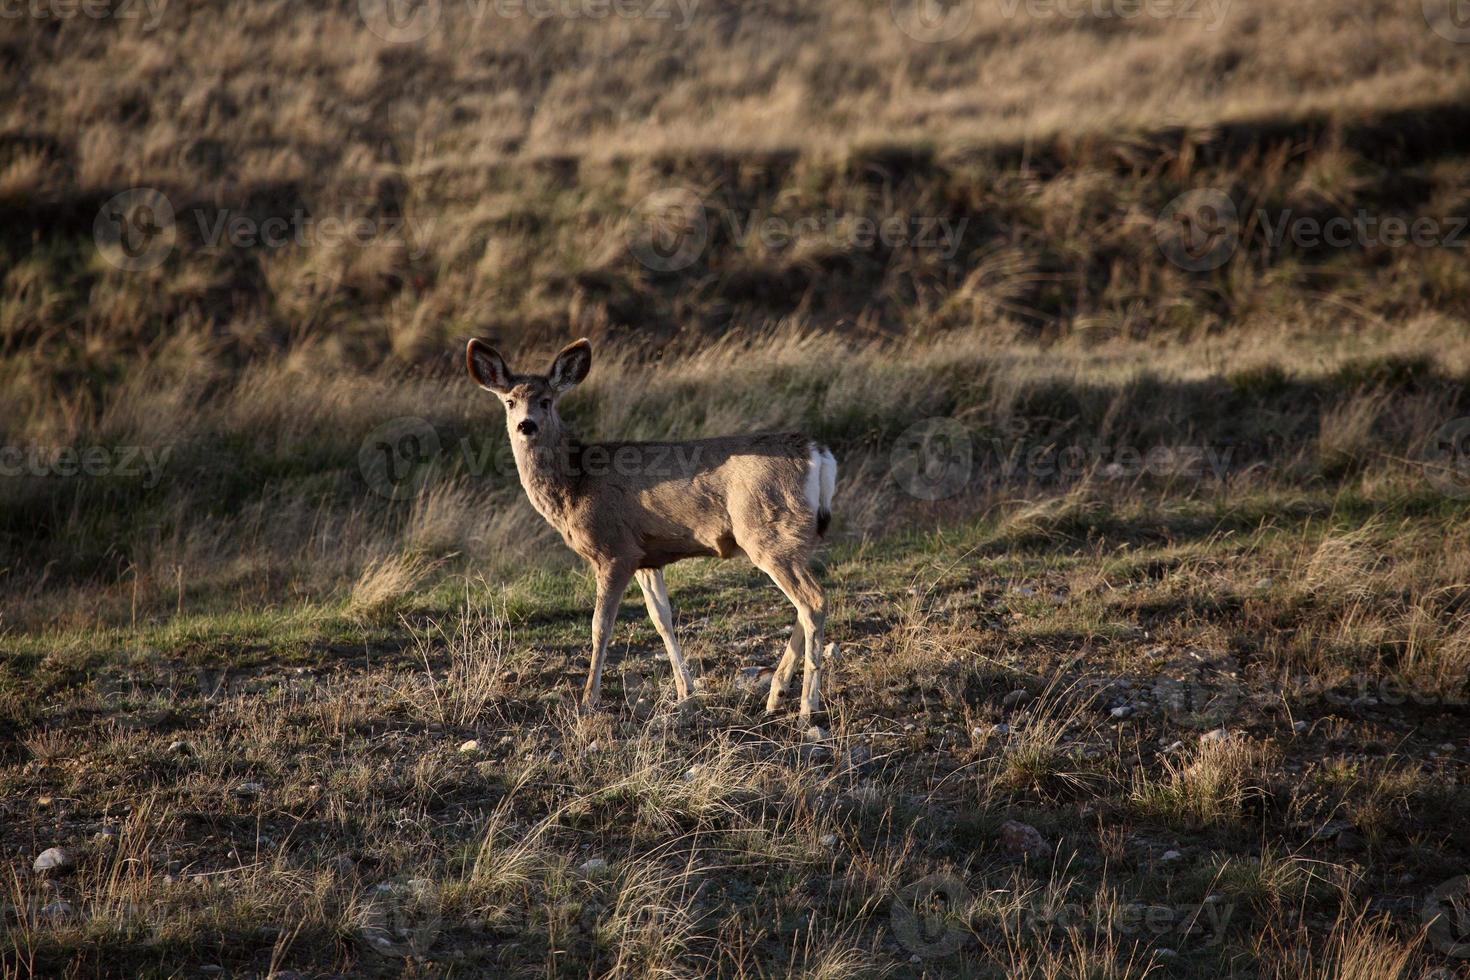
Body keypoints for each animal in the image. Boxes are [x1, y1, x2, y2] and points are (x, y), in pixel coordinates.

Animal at [470, 337, 840, 719]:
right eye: (510, 401)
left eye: (545, 400)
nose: (526, 425)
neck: (576, 484)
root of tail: (818, 453)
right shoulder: (647, 556)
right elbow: (662, 619)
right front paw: (686, 692)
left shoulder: (615, 550)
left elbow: (600, 625)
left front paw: (589, 699)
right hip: (791, 539)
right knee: (806, 604)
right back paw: (776, 694)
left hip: (769, 531)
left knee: (813, 601)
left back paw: (807, 706)